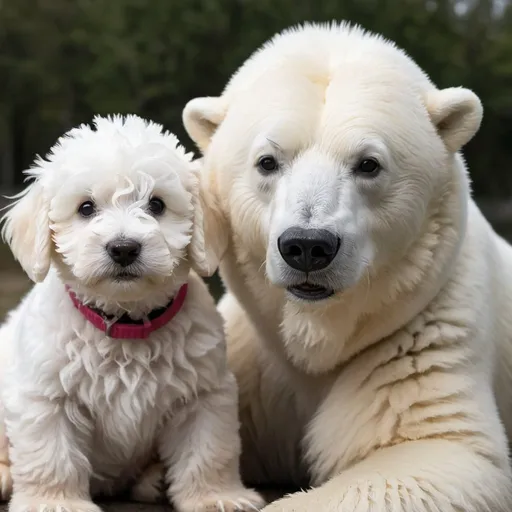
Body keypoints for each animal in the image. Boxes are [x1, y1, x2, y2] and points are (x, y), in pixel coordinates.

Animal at [0, 115, 264, 512]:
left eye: (156, 204)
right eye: (86, 208)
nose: (123, 248)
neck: (125, 322)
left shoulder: (203, 394)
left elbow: (208, 450)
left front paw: (216, 496)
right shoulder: (47, 395)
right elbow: (52, 456)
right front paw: (55, 502)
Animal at [183, 21, 512, 512]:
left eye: (368, 164)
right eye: (267, 161)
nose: (307, 246)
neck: (317, 333)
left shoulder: (422, 332)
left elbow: (436, 448)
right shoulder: (248, 353)